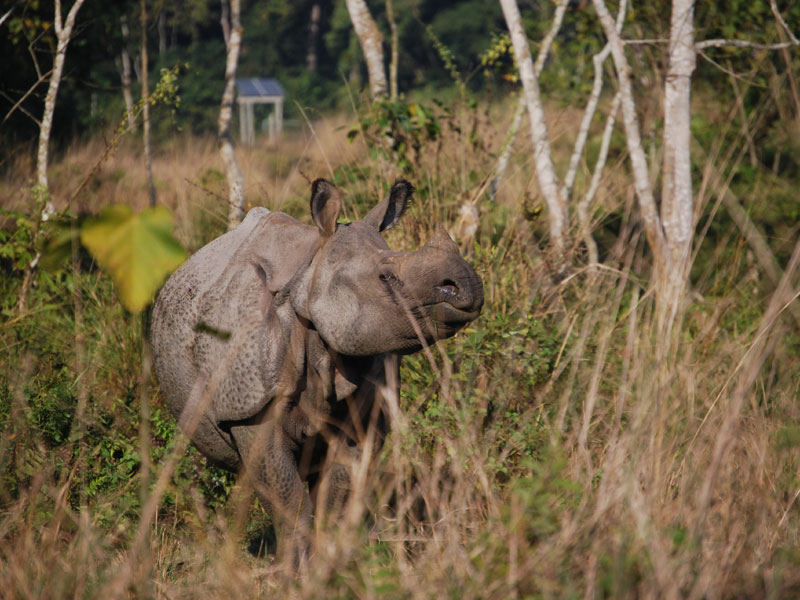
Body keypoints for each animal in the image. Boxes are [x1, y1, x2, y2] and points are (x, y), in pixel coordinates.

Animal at [153, 180, 484, 564]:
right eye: (386, 278)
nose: (469, 285)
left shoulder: (363, 411)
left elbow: (337, 494)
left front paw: (333, 559)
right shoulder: (249, 409)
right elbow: (287, 500)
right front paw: (295, 568)